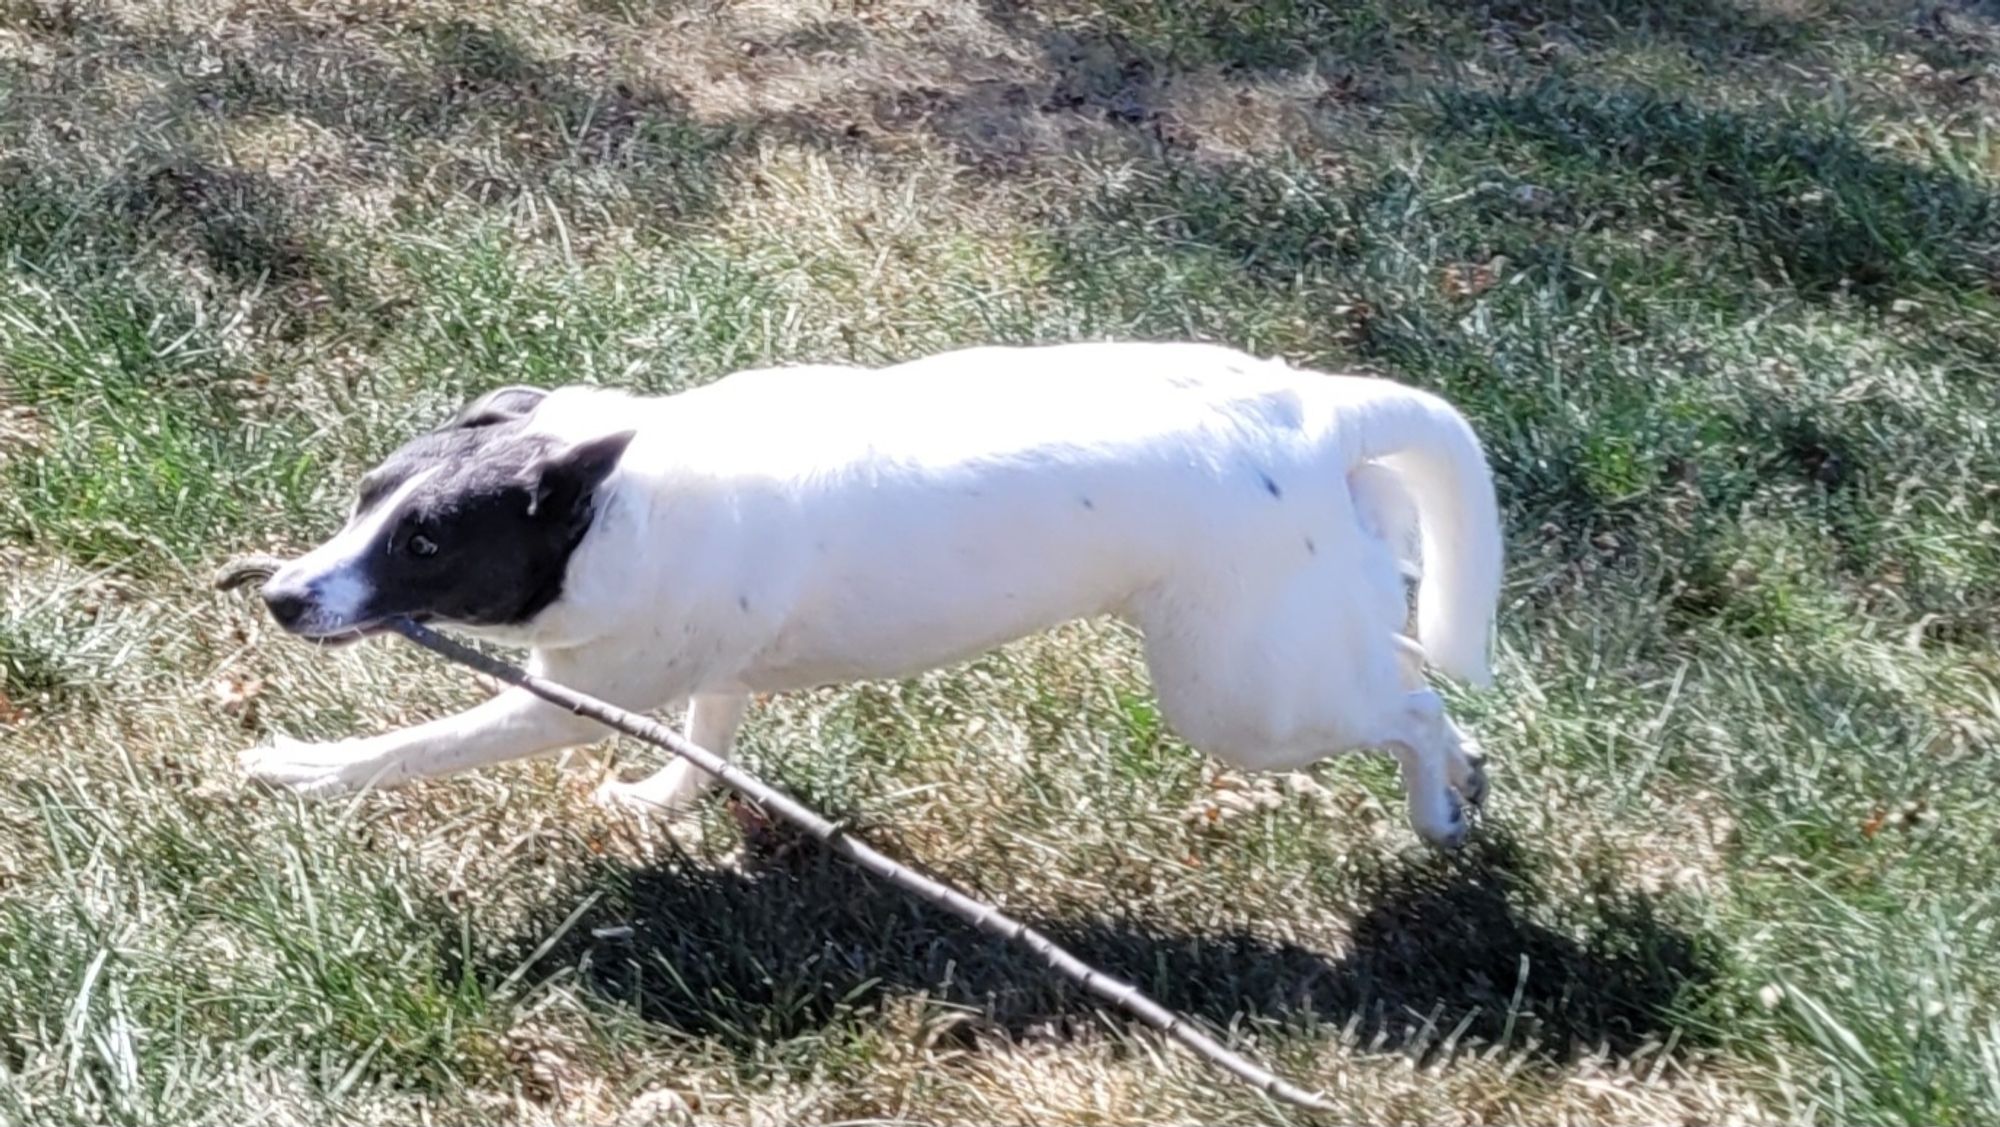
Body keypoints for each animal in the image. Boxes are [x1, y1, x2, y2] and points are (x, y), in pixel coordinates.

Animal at [246, 341, 1504, 847]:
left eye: (424, 543)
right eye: (365, 496)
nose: (281, 597)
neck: (619, 494)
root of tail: (1314, 409)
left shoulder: (571, 691)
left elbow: (420, 742)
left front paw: (306, 766)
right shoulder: (710, 664)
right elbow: (704, 740)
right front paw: (662, 801)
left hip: (1237, 701)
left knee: (1409, 705)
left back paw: (1433, 811)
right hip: (1291, 643)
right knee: (1402, 674)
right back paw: (1464, 777)